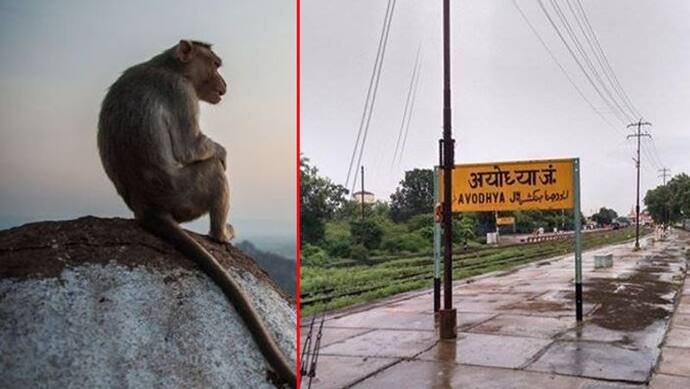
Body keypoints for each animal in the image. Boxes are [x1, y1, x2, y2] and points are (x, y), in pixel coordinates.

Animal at [95, 39, 294, 384]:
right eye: (214, 65)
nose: (224, 84)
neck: (169, 66)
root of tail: (146, 208)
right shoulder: (181, 93)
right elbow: (191, 147)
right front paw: (223, 151)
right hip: (185, 195)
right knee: (213, 171)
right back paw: (221, 234)